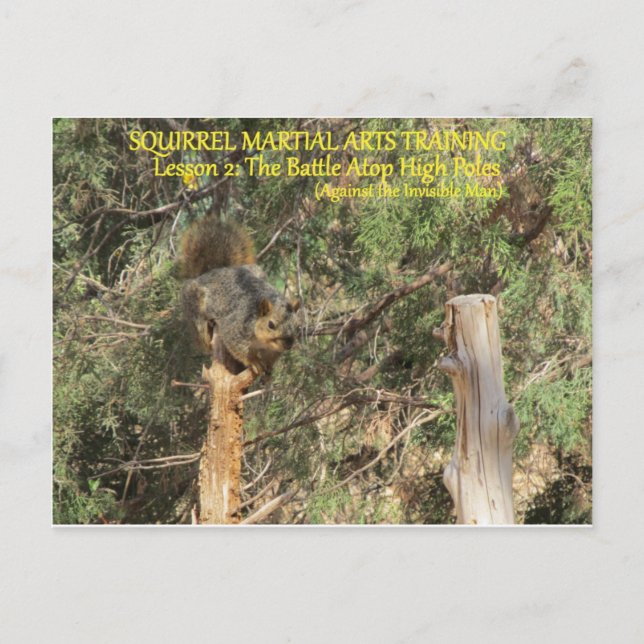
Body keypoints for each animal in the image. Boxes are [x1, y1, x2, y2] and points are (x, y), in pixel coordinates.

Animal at [179, 217, 300, 375]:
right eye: (271, 325)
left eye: (298, 325)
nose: (288, 345)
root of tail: (214, 270)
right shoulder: (234, 327)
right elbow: (238, 348)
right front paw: (253, 362)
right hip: (194, 303)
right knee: (201, 330)